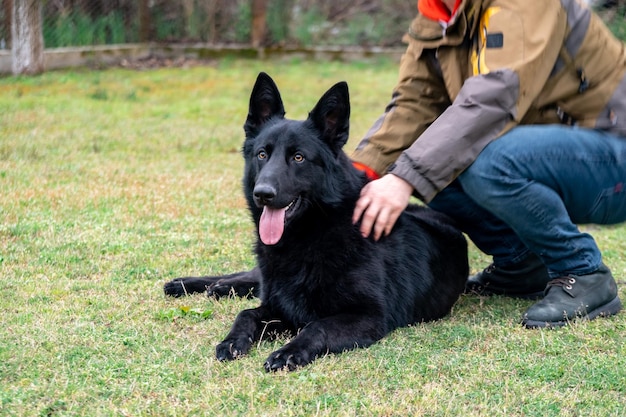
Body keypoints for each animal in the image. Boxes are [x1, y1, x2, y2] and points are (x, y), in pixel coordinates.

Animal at [163, 74, 466, 370]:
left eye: (298, 157)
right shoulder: (279, 304)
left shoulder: (367, 316)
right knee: (250, 276)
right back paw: (192, 284)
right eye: (262, 154)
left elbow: (316, 326)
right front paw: (232, 341)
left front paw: (288, 352)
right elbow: (246, 313)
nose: (262, 194)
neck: (314, 233)